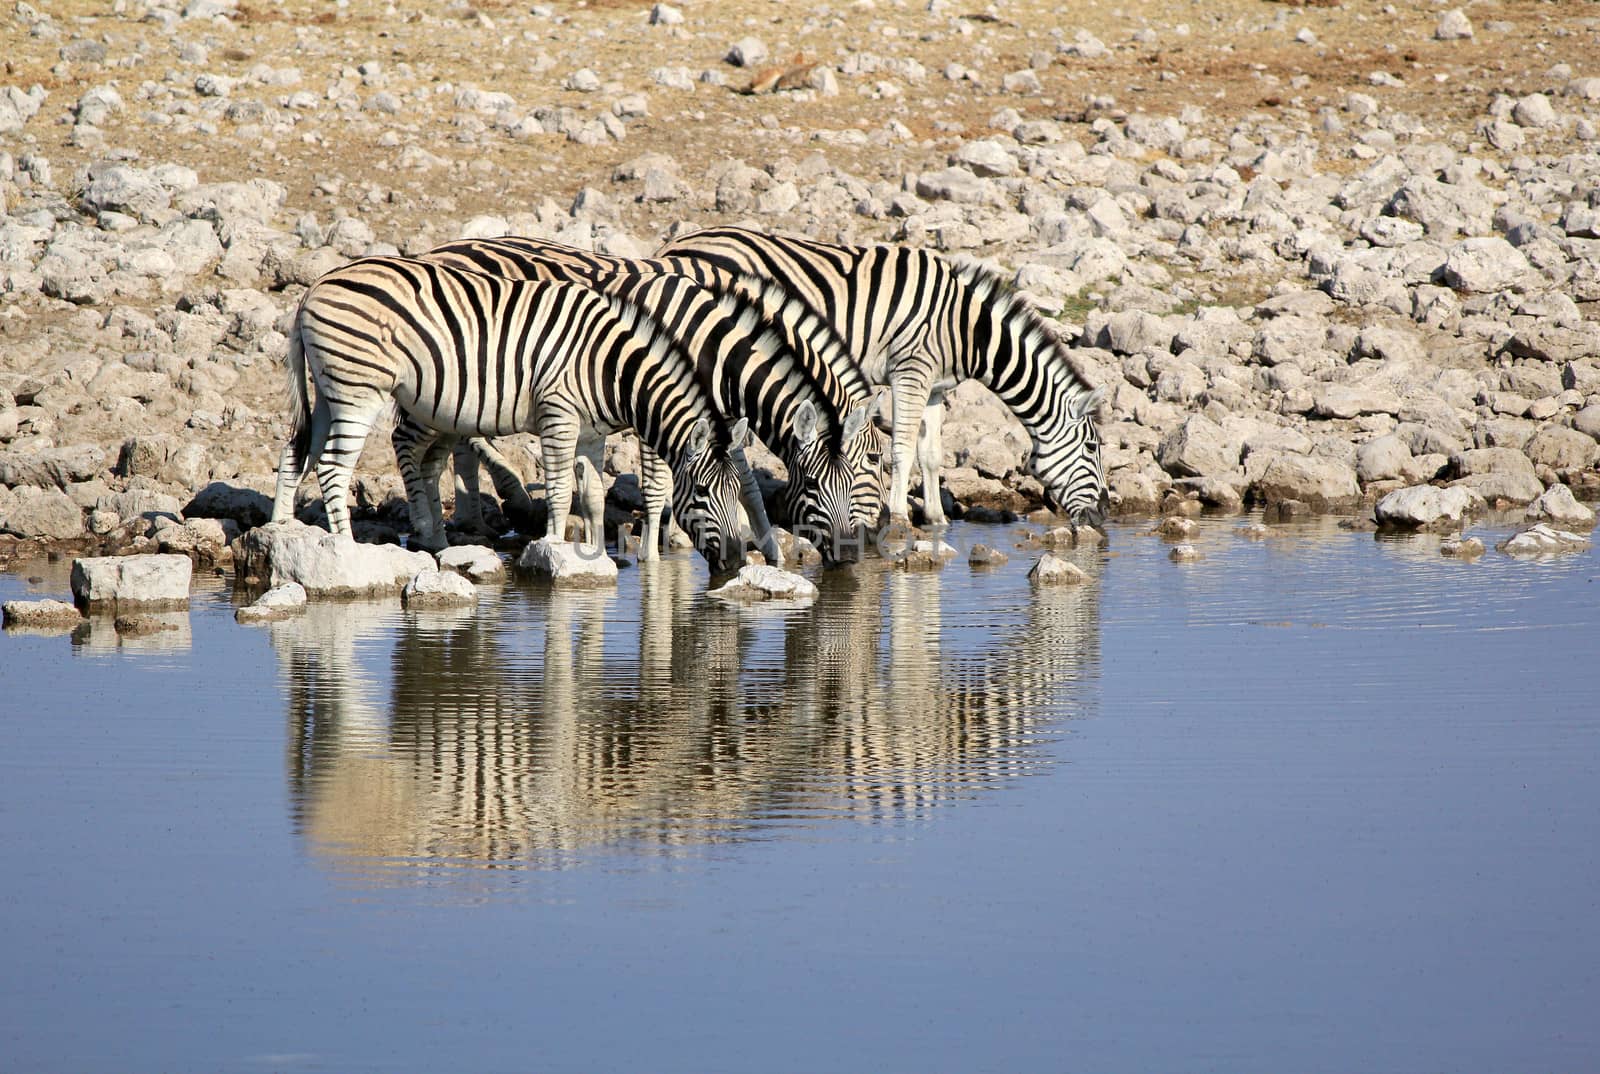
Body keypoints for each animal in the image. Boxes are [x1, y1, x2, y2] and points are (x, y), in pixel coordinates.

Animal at [265, 257, 752, 576]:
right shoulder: (559, 415)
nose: (736, 561)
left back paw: (282, 529)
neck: (609, 367)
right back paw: (347, 552)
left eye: (736, 494)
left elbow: (594, 495)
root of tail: (315, 286)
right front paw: (556, 550)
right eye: (703, 493)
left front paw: (596, 555)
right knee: (333, 466)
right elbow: (559, 492)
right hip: (357, 390)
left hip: (329, 391)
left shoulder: (591, 433)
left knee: (296, 451)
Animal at [393, 240, 883, 566]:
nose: (855, 553)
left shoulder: (718, 422)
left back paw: (461, 524)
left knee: (445, 452)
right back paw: (430, 530)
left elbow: (744, 481)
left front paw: (770, 547)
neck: (711, 345)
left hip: (456, 404)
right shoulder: (662, 408)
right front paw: (653, 555)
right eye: (874, 463)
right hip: (433, 391)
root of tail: (439, 251)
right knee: (405, 442)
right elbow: (657, 484)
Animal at [656, 225, 1107, 534]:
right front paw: (899, 518)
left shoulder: (935, 387)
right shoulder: (910, 370)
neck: (967, 330)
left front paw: (937, 518)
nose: (1103, 515)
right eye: (1091, 447)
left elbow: (931, 453)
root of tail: (672, 246)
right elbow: (902, 448)